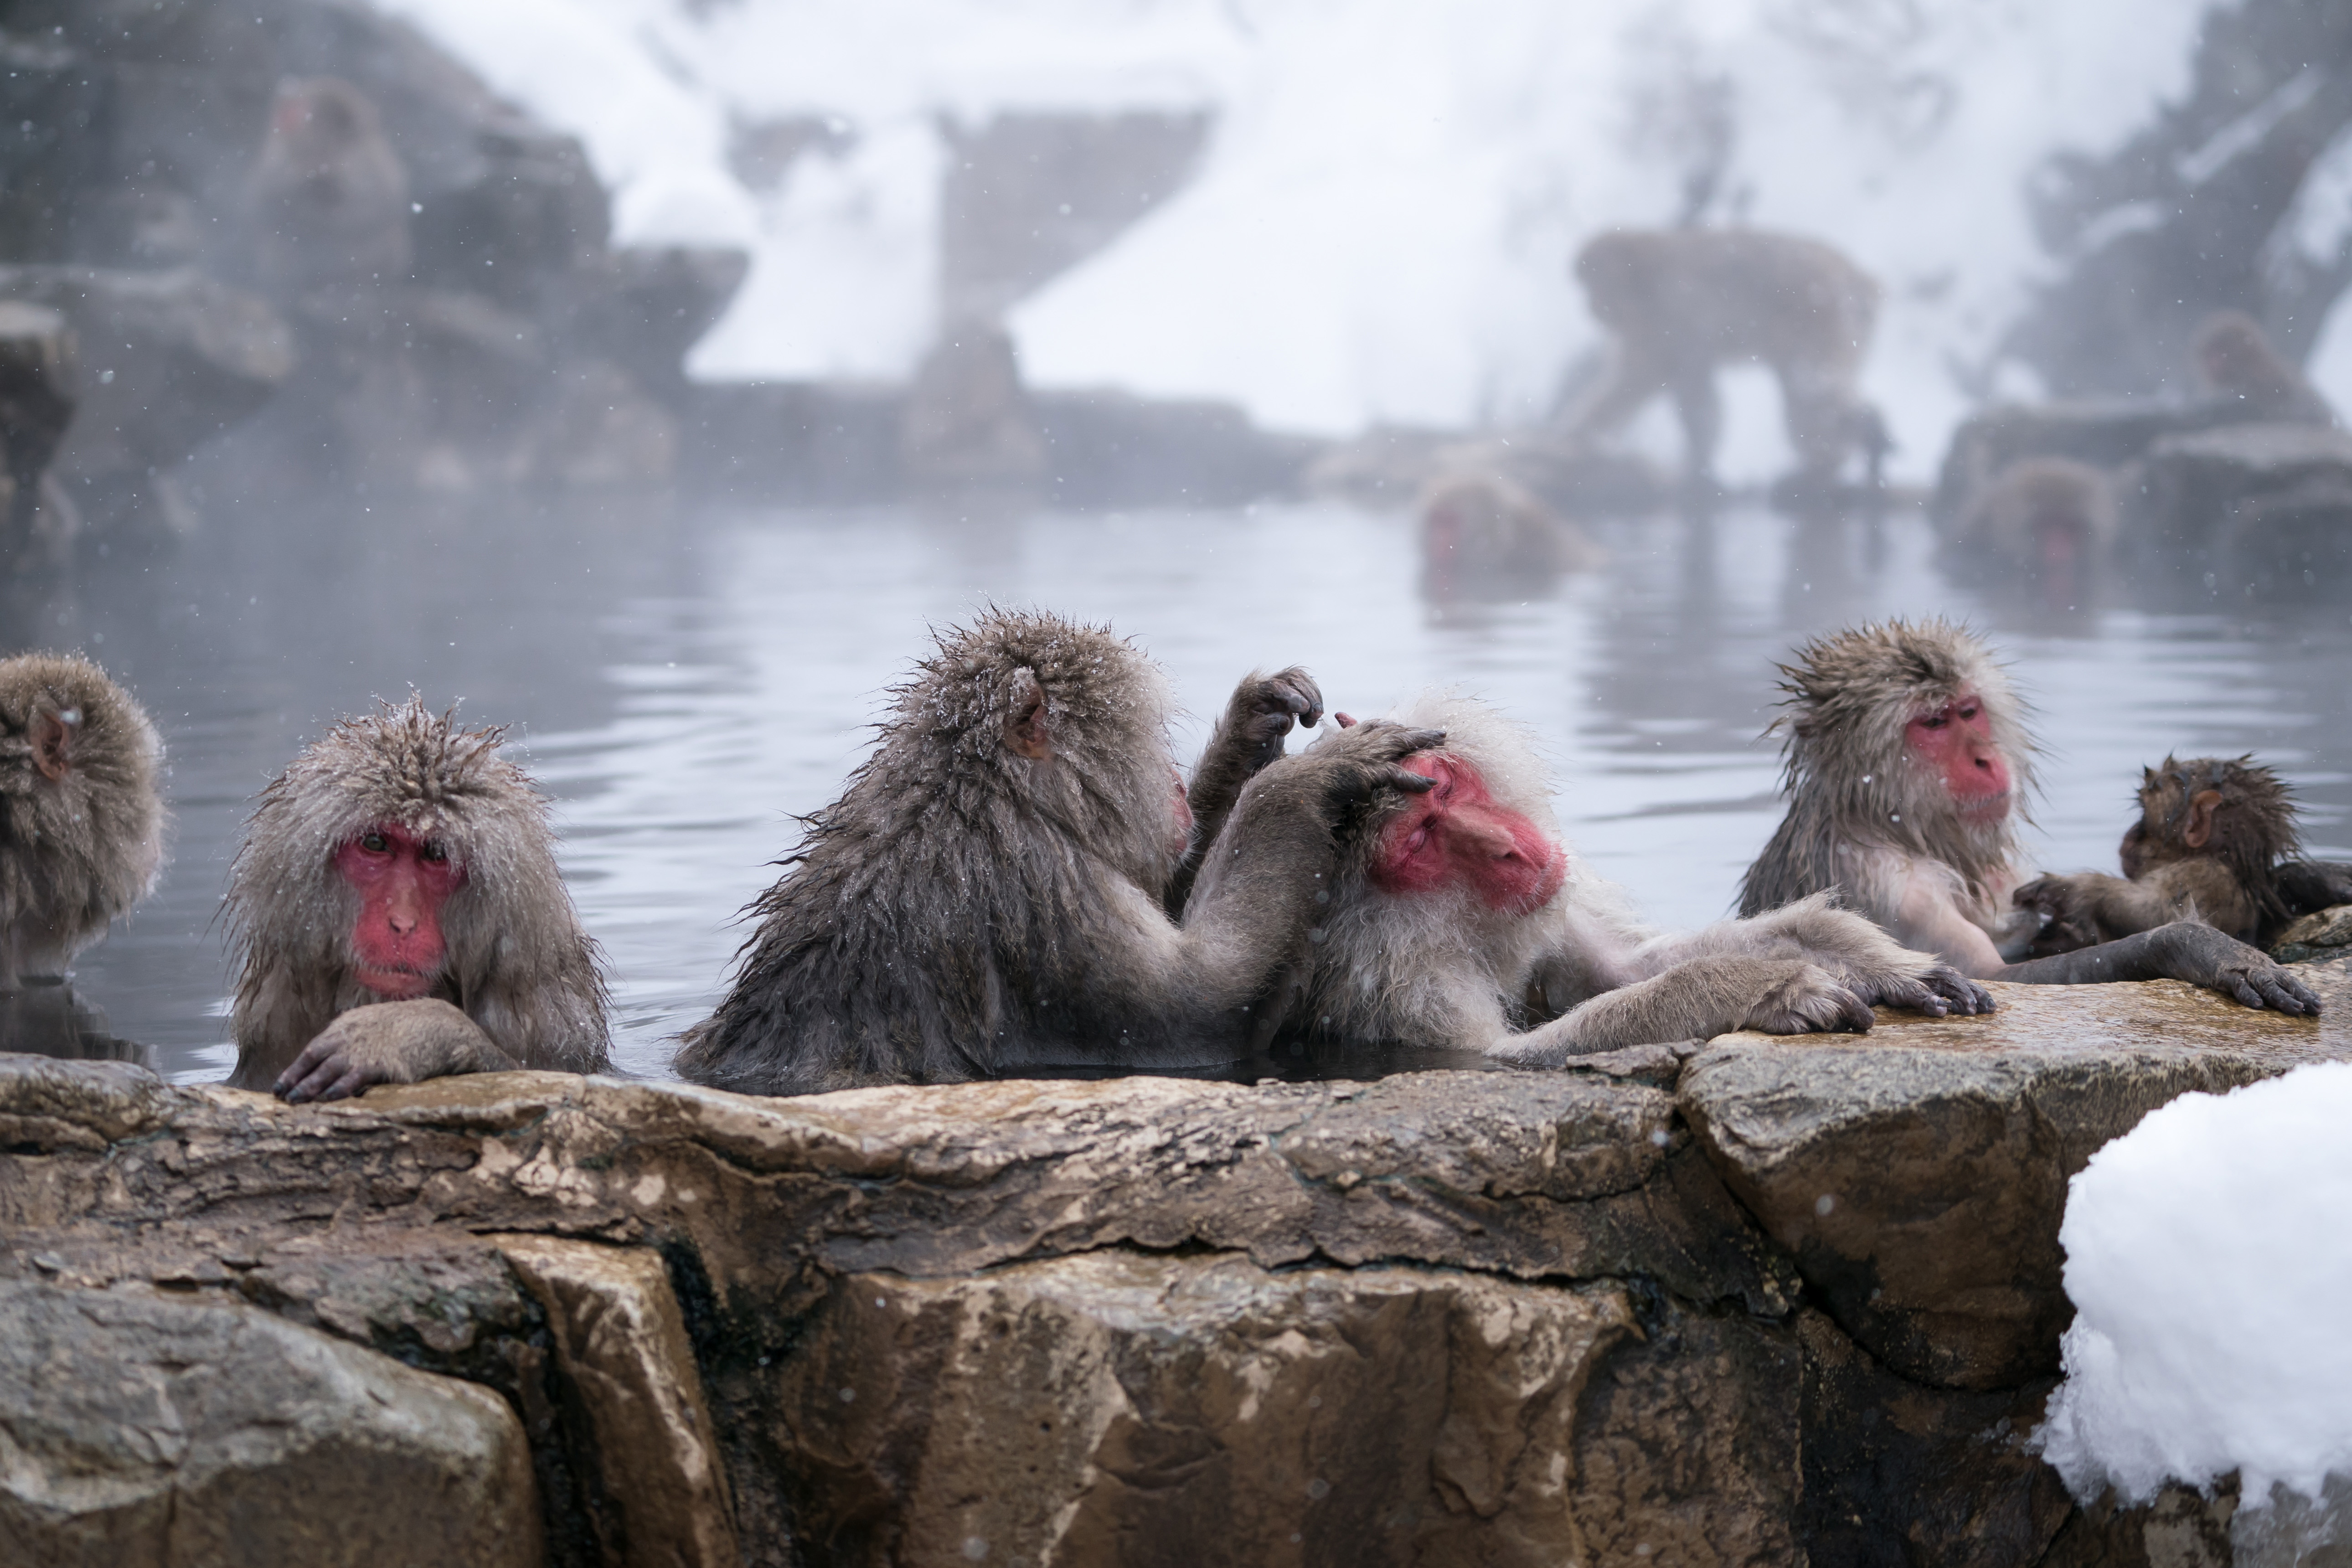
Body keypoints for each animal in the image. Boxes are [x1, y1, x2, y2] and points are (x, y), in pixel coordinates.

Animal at [242, 77, 413, 298]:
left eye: (302, 109)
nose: (285, 111)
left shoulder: (371, 169)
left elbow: (378, 206)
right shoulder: (276, 164)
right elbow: (265, 205)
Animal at [671, 609, 1445, 1095]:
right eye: (1149, 740)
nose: (1174, 788)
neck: (984, 800)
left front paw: (1257, 722)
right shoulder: (1046, 900)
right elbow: (1200, 1013)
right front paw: (1310, 778)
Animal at [1265, 694, 1989, 1062]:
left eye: (1444, 786)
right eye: (1419, 840)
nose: (1507, 849)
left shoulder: (1550, 898)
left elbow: (1622, 969)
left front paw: (1871, 960)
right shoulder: (1405, 987)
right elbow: (1500, 1056)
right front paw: (1762, 987)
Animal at [1564, 228, 1884, 486]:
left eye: (1595, 284)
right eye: (1587, 288)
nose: (1591, 307)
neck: (1646, 278)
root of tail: (1858, 278)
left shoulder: (1676, 311)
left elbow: (1692, 388)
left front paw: (1696, 465)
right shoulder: (1654, 334)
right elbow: (1640, 381)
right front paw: (1578, 438)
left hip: (1815, 319)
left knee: (1809, 386)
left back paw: (1826, 463)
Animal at [2014, 756, 2352, 955]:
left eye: (2144, 813)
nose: (2129, 836)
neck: (2232, 863)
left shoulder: (2203, 875)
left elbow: (2162, 920)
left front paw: (2073, 891)